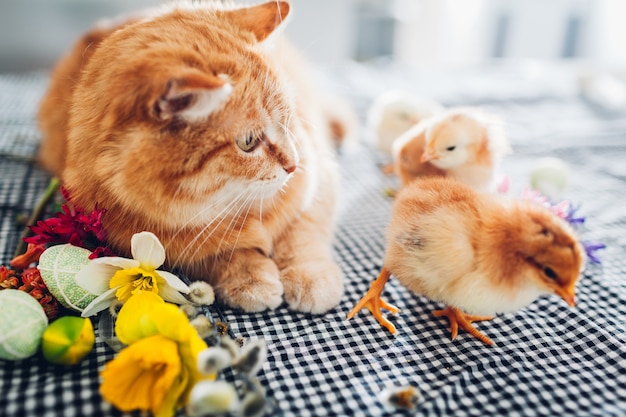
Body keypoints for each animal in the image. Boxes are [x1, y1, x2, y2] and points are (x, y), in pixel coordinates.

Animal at [36, 0, 348, 312]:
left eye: (288, 120)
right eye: (247, 142)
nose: (294, 165)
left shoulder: (318, 178)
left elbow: (302, 235)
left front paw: (311, 277)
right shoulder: (166, 247)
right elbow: (219, 255)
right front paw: (248, 277)